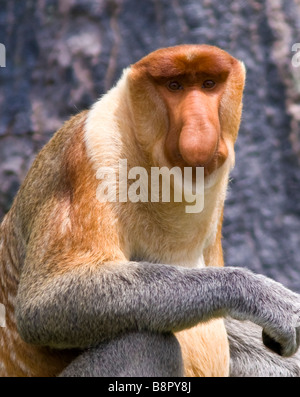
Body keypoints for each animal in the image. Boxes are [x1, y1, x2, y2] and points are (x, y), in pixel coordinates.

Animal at [0, 44, 300, 376]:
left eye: (208, 84)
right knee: (148, 344)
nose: (198, 127)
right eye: (174, 86)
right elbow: (44, 303)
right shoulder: (90, 157)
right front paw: (267, 298)